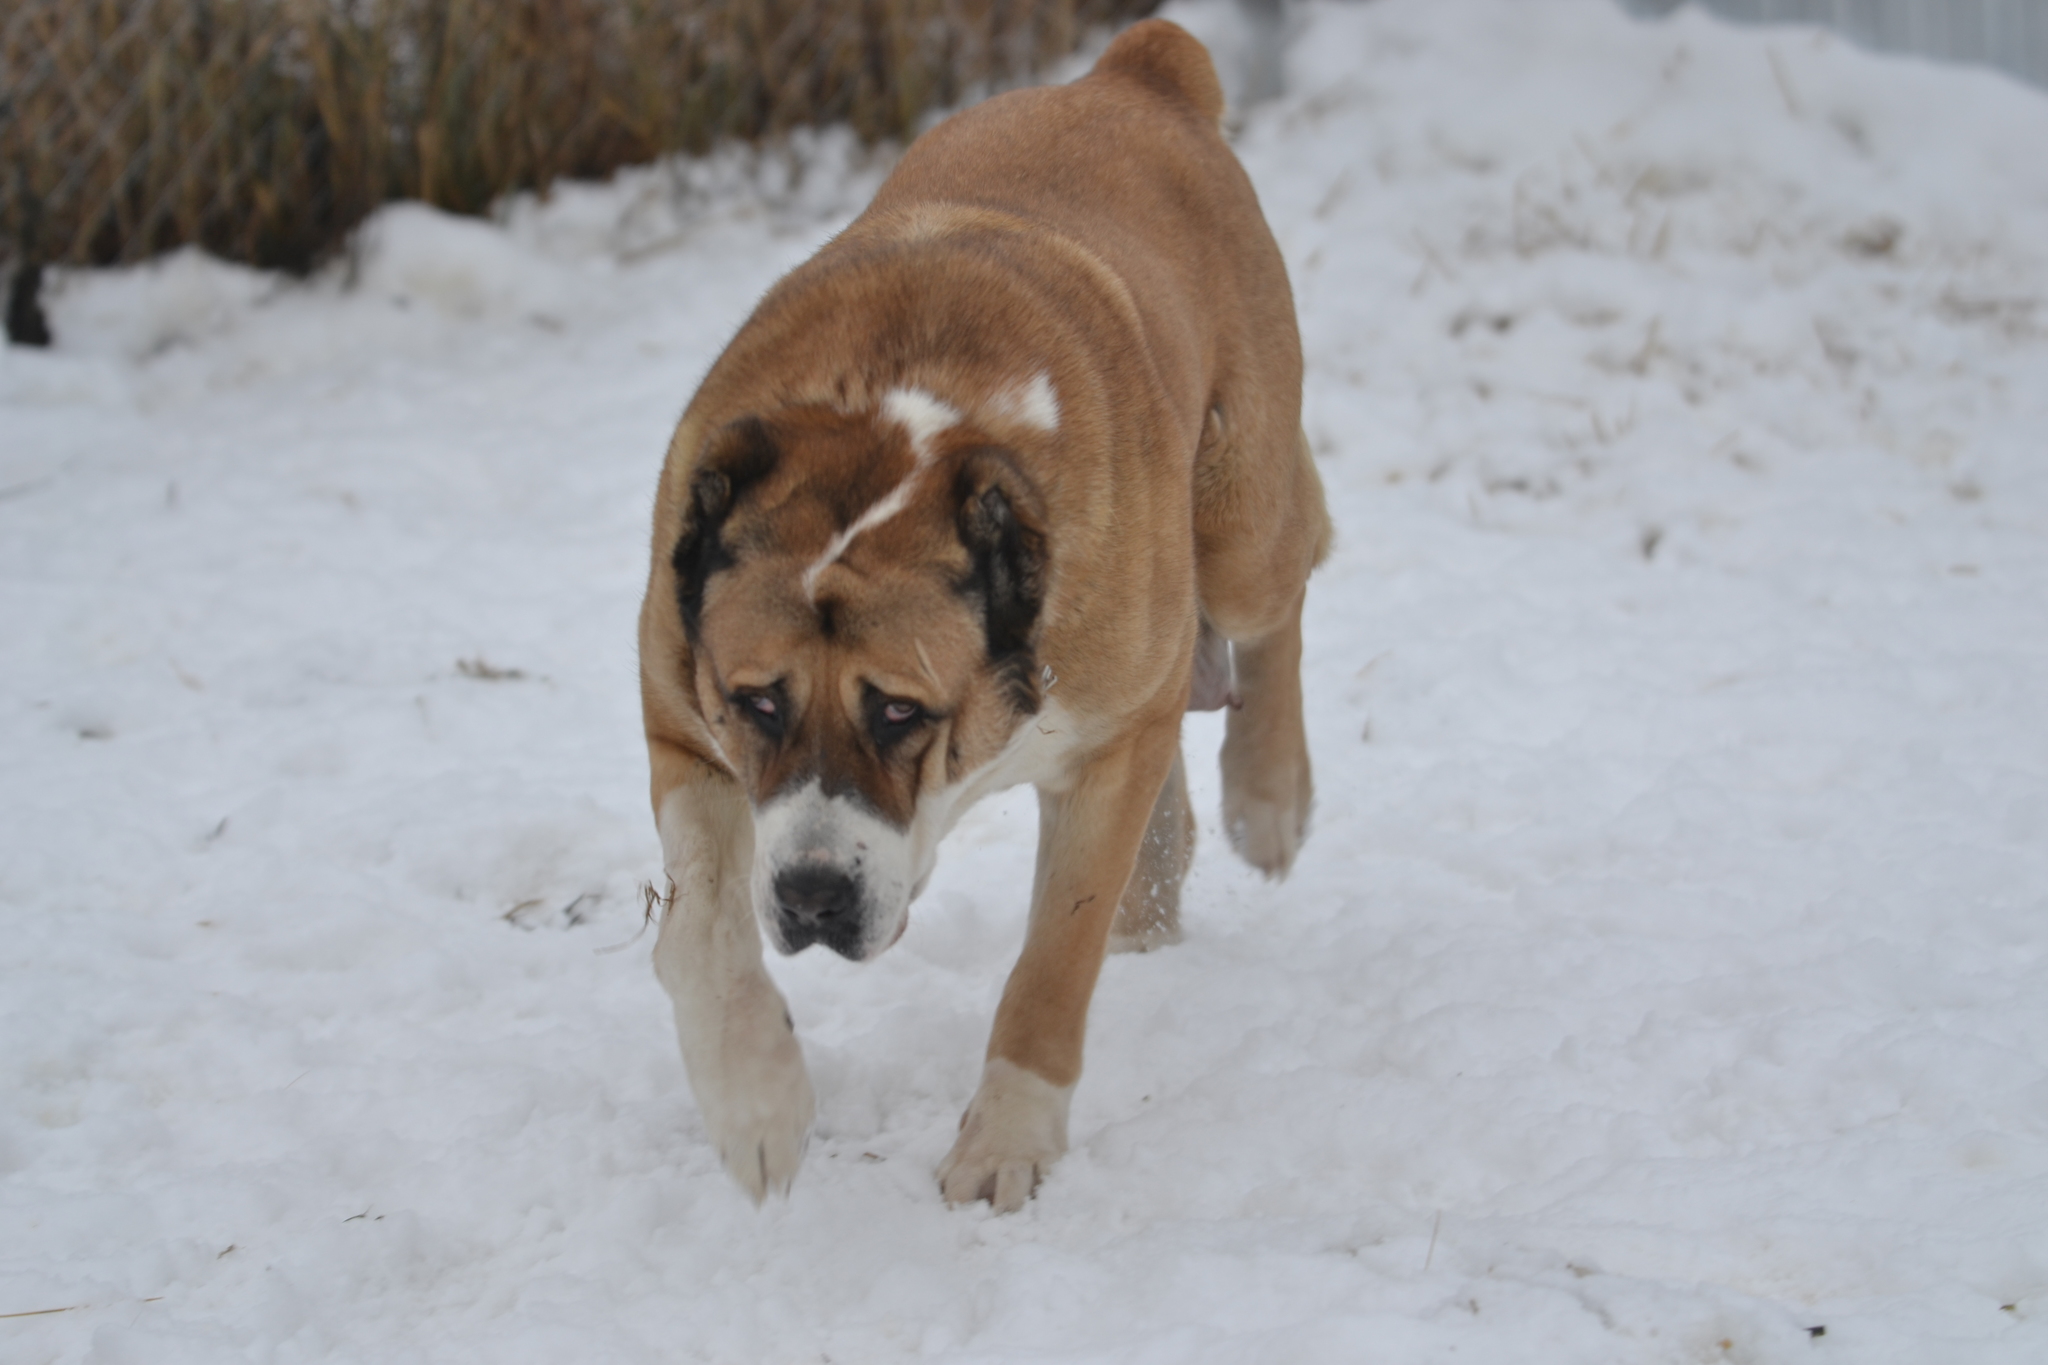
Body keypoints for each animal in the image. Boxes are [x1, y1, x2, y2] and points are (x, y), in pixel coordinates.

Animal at [647, 18, 1335, 1219]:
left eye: (898, 712)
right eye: (755, 704)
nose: (814, 894)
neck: (897, 439)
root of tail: (1136, 71)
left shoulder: (1105, 746)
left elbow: (1052, 964)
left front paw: (1007, 1137)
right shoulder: (677, 711)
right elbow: (700, 926)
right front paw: (757, 1107)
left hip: (1240, 514)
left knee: (1282, 590)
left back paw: (1267, 796)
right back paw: (1156, 903)